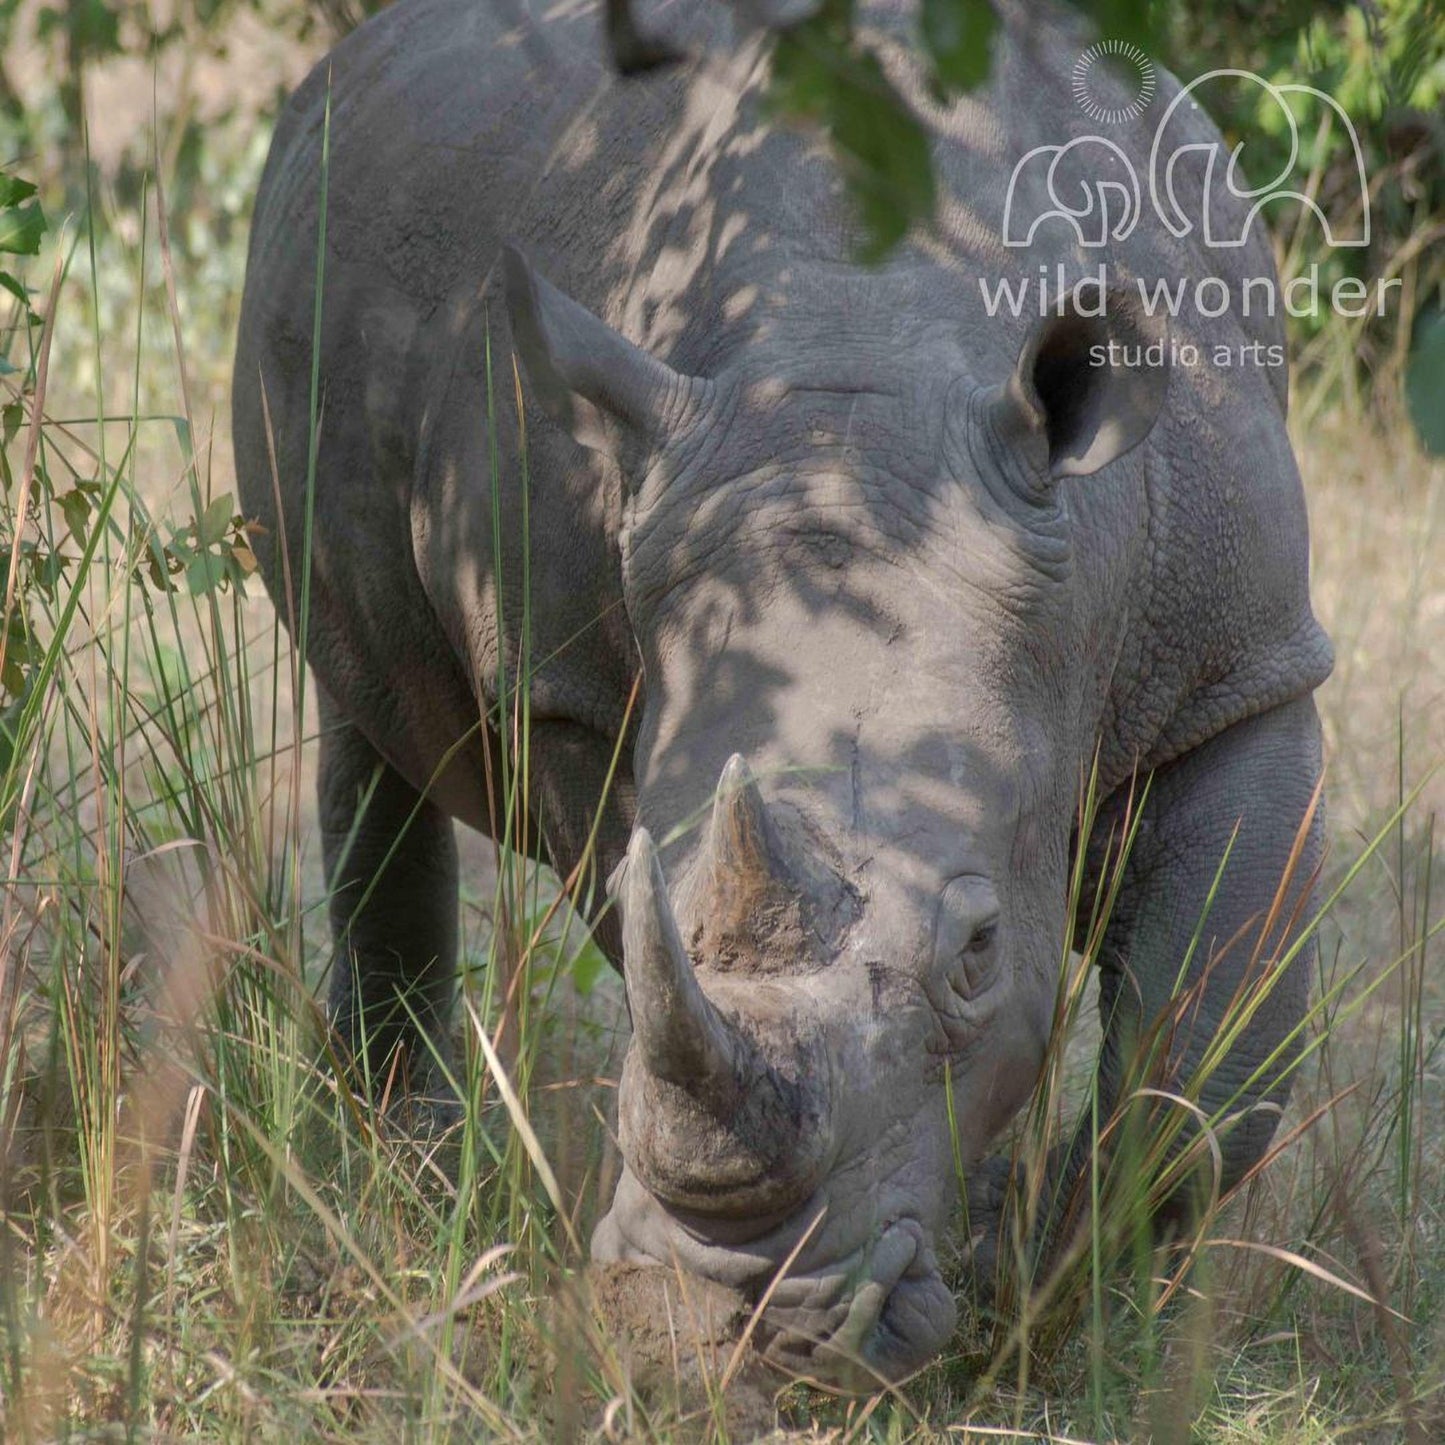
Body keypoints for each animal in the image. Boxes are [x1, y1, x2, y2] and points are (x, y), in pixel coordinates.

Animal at [232, 0, 1332, 1384]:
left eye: (977, 948)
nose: (729, 1333)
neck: (862, 360)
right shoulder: (571, 692)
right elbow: (651, 933)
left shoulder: (1239, 669)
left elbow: (1210, 1059)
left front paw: (1048, 1293)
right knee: (371, 730)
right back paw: (408, 1170)